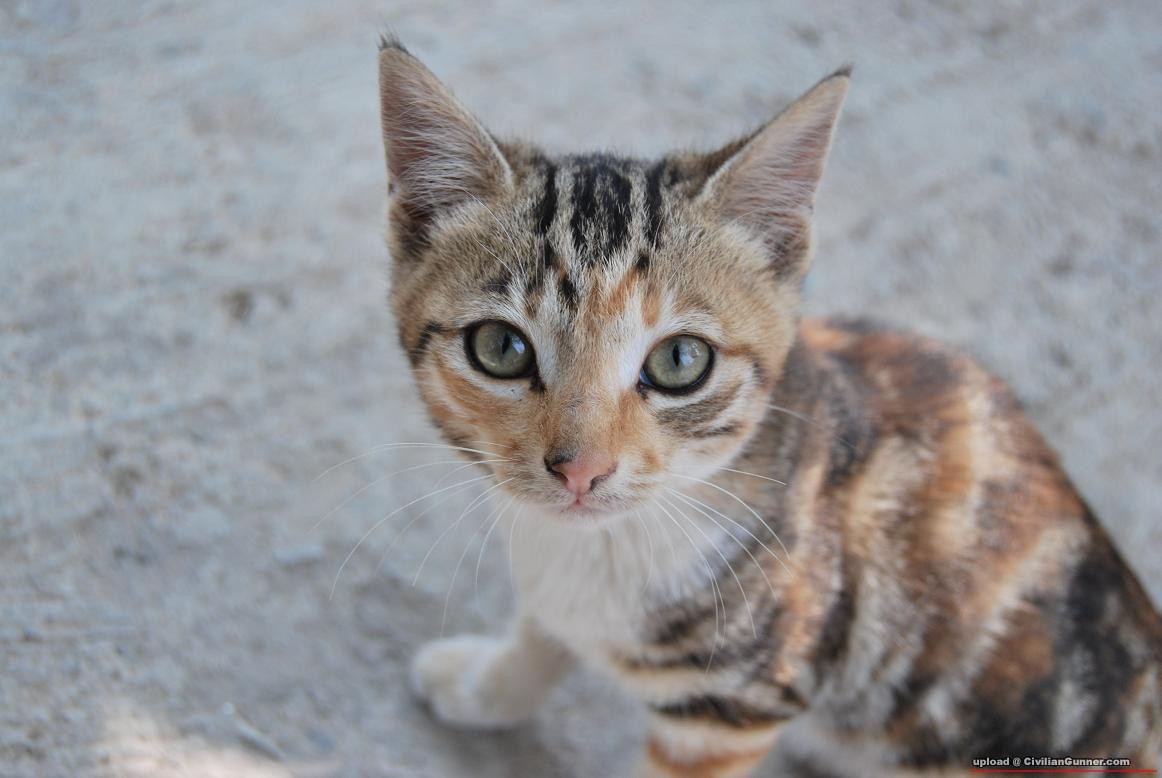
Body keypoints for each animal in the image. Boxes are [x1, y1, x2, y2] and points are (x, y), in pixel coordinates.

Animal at [374, 36, 1162, 777]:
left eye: (680, 362)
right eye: (501, 347)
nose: (580, 471)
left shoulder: (731, 707)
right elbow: (542, 631)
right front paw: (488, 684)